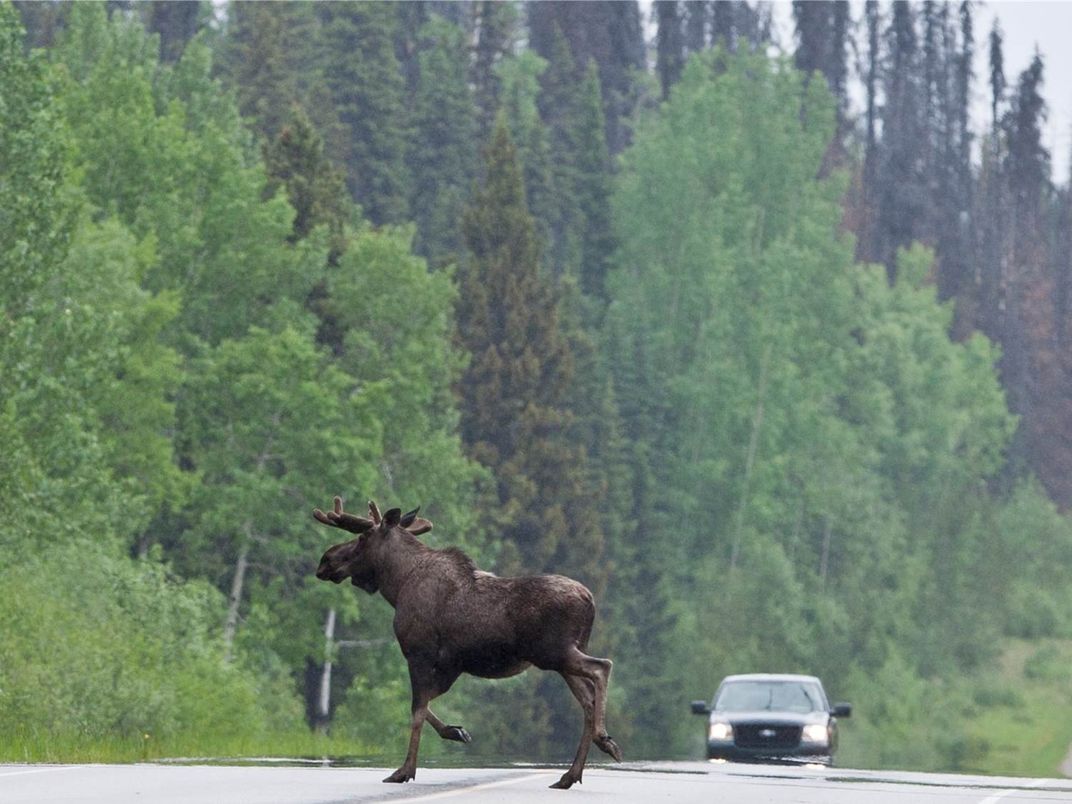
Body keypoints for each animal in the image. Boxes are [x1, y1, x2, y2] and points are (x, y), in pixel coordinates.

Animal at [313, 495, 621, 788]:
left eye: (363, 537)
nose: (325, 560)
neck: (397, 586)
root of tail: (590, 601)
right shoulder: (452, 664)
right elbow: (425, 703)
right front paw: (456, 731)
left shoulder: (419, 651)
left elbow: (417, 709)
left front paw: (404, 770)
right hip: (563, 658)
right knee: (587, 701)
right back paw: (570, 774)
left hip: (554, 652)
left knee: (602, 667)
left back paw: (603, 738)